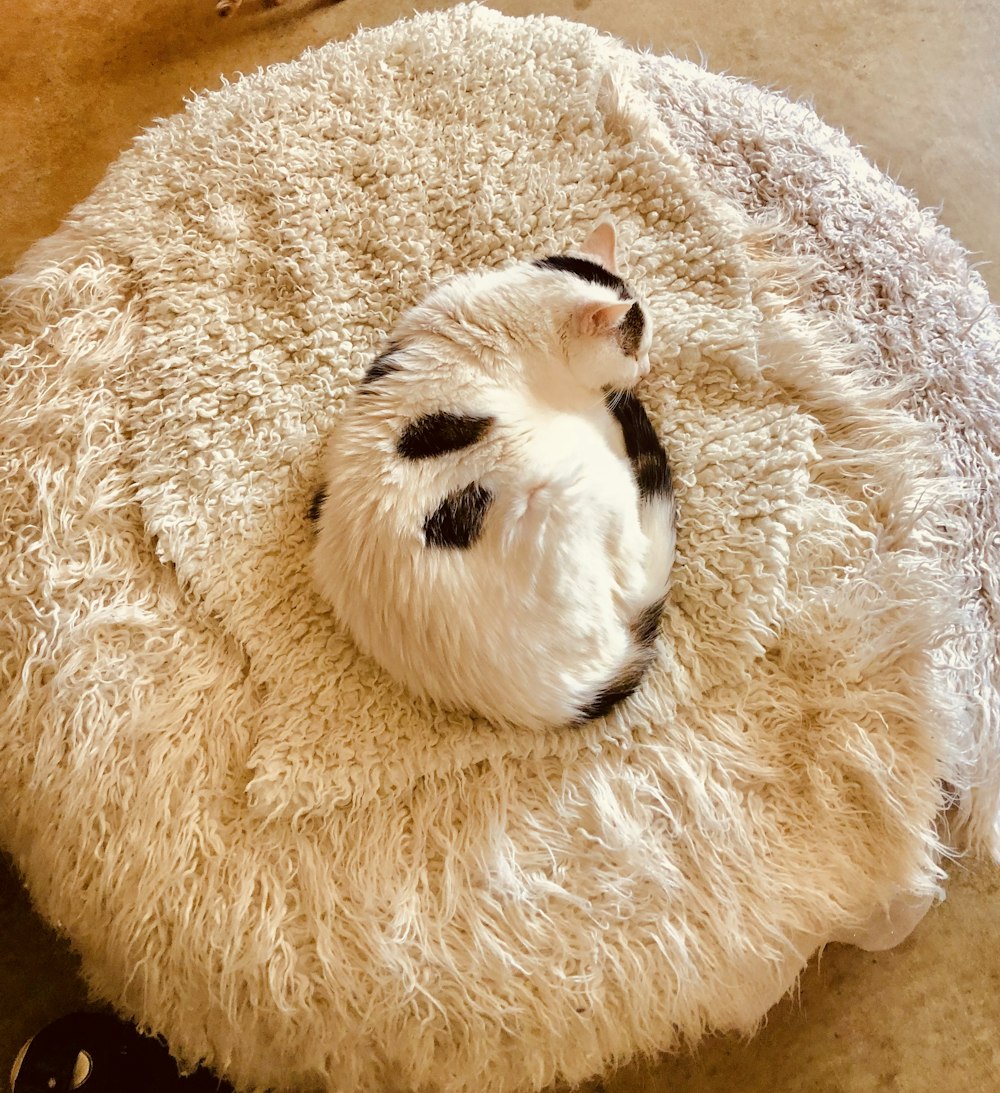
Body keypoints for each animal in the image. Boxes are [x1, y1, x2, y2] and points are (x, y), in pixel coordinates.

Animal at [308, 217, 677, 730]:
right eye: (633, 349)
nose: (646, 367)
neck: (507, 314)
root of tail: (557, 697)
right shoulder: (591, 413)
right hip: (590, 476)